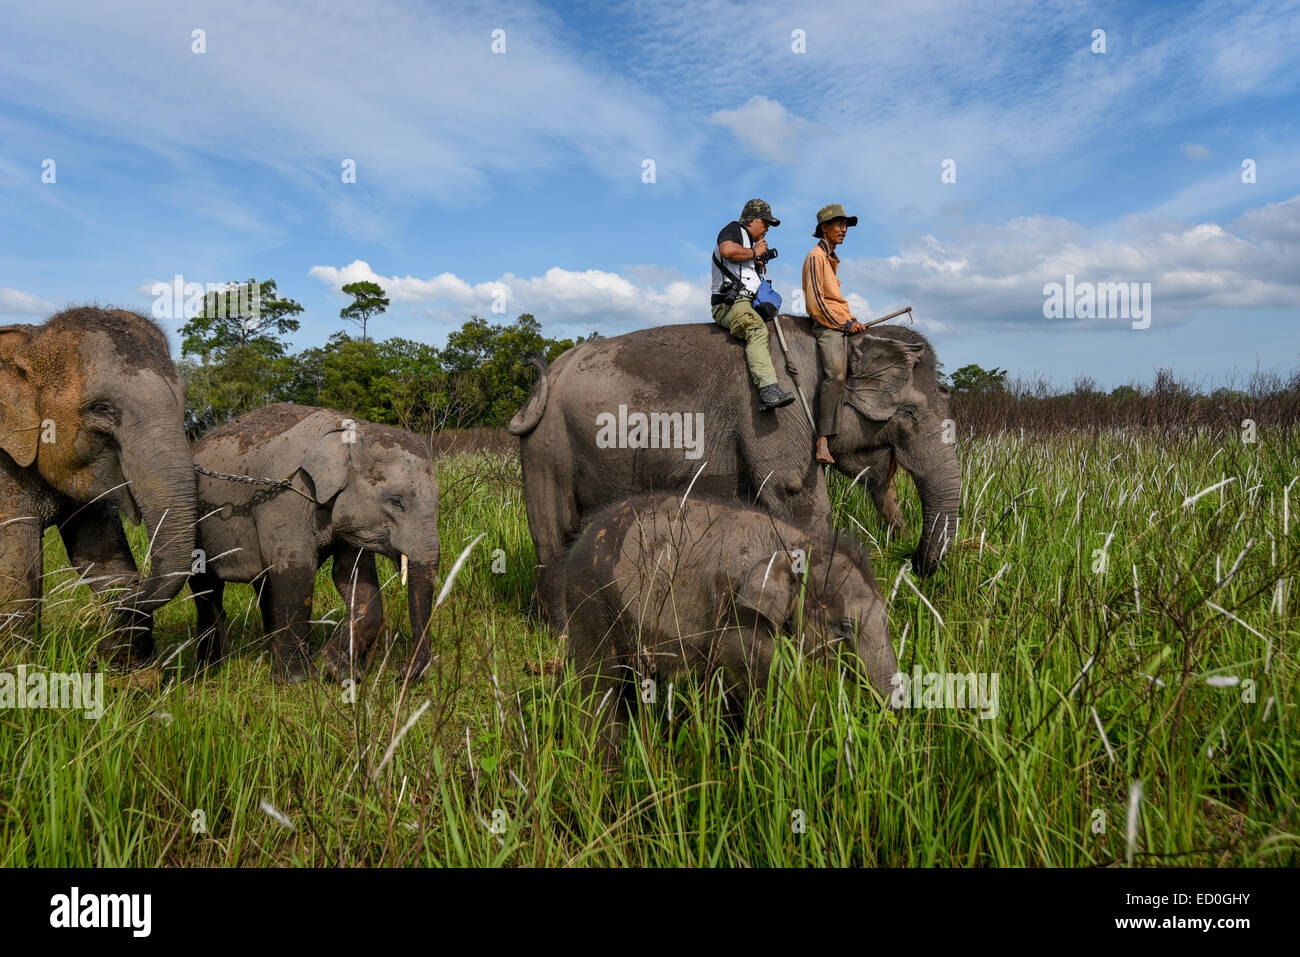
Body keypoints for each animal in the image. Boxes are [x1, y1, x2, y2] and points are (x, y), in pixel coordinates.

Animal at [0, 306, 197, 665]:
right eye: (101, 408)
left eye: (183, 398)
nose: (137, 585)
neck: (28, 343)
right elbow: (17, 571)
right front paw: (18, 671)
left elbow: (101, 552)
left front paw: (130, 669)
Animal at [189, 403, 439, 681]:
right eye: (396, 501)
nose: (402, 673)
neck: (346, 432)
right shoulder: (285, 497)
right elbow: (297, 570)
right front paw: (298, 679)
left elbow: (353, 576)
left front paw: (340, 670)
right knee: (206, 588)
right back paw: (210, 668)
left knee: (263, 584)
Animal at [506, 315, 956, 634]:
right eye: (910, 413)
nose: (913, 563)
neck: (832, 341)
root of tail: (549, 376)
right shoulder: (778, 414)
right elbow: (798, 500)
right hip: (547, 446)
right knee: (554, 536)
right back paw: (562, 634)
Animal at [564, 496, 899, 764]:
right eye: (845, 627)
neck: (796, 542)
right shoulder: (739, 613)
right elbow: (765, 683)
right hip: (591, 602)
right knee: (600, 683)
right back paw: (605, 764)